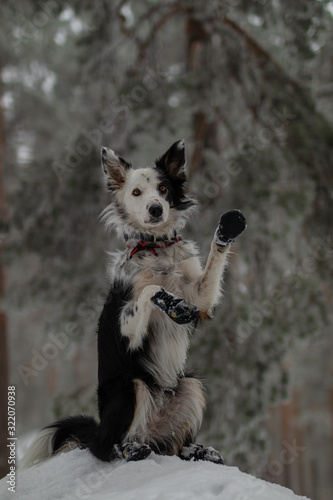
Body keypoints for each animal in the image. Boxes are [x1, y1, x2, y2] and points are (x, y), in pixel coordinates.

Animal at [20, 139, 244, 466]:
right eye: (136, 192)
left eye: (163, 188)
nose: (156, 208)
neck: (156, 246)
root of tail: (100, 430)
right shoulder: (126, 329)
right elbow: (148, 289)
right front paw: (172, 303)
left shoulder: (202, 297)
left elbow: (213, 267)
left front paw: (226, 230)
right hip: (130, 386)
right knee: (108, 448)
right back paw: (129, 450)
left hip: (189, 385)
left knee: (172, 446)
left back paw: (198, 450)